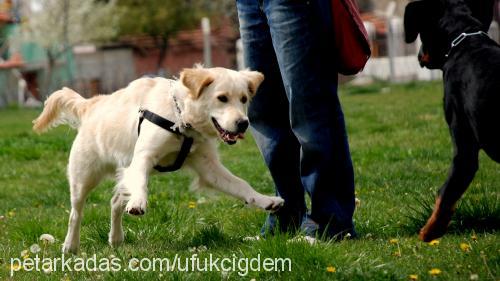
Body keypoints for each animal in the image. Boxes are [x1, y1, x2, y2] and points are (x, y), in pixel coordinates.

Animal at [33, 66, 286, 253]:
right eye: (222, 98)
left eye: (243, 99)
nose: (243, 123)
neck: (180, 117)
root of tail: (91, 104)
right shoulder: (143, 157)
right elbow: (141, 185)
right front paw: (138, 203)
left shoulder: (208, 167)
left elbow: (241, 184)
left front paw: (265, 200)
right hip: (84, 176)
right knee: (76, 213)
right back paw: (70, 245)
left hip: (122, 171)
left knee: (114, 202)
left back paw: (116, 238)